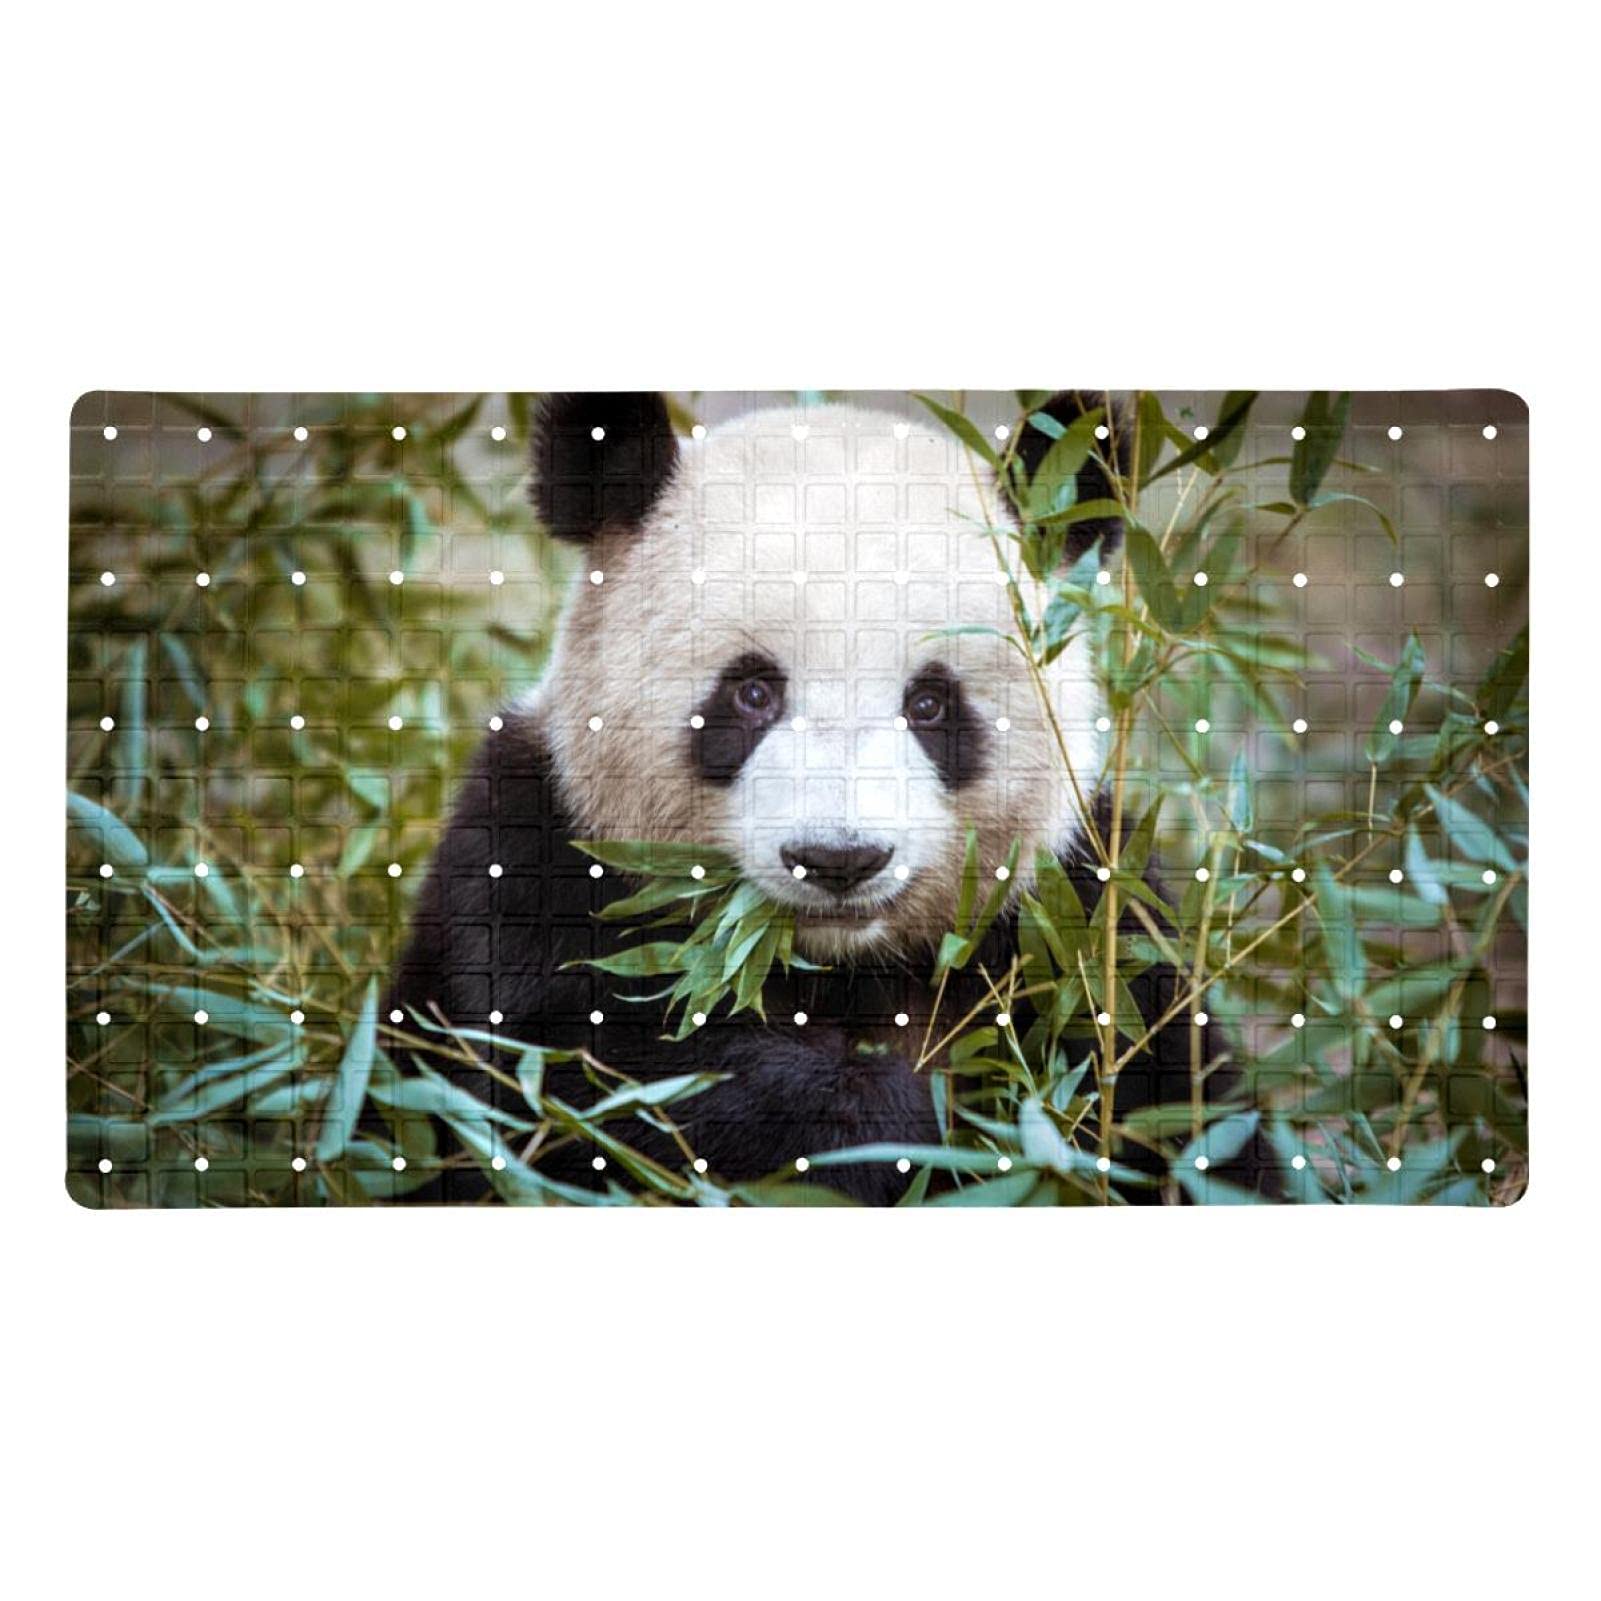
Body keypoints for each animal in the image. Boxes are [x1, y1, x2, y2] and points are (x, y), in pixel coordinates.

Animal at [387, 390, 1262, 1204]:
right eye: (751, 692)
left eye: (930, 703)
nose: (839, 859)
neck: (837, 962)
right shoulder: (536, 860)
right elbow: (593, 1086)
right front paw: (893, 1121)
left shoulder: (1085, 919)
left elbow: (1188, 1122)